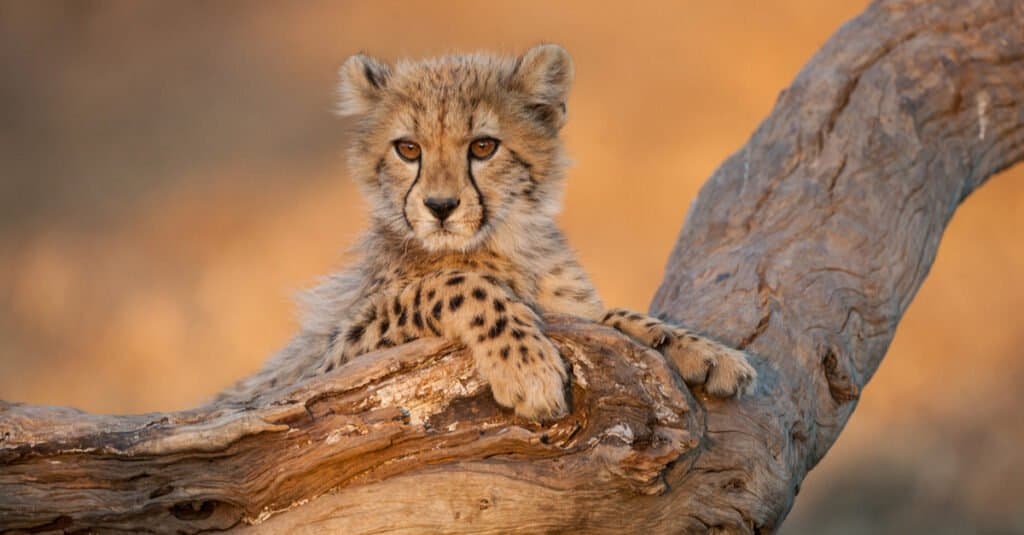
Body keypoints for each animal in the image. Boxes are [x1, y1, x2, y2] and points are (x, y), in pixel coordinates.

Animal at [222, 43, 753, 418]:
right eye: (408, 149)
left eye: (482, 147)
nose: (440, 206)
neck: (500, 243)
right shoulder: (335, 364)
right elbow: (456, 284)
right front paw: (526, 367)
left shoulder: (575, 313)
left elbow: (611, 317)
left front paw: (702, 349)